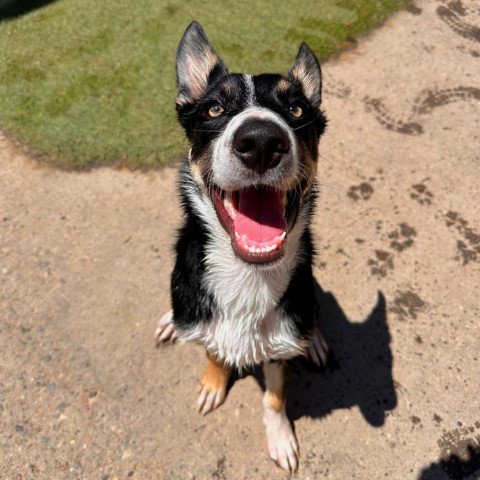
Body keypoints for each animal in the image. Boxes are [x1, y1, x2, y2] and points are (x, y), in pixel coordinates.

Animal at [158, 22, 330, 472]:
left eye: (297, 110)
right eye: (215, 109)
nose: (262, 142)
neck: (248, 277)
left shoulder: (279, 346)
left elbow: (275, 396)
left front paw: (281, 438)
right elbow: (214, 352)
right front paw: (213, 382)